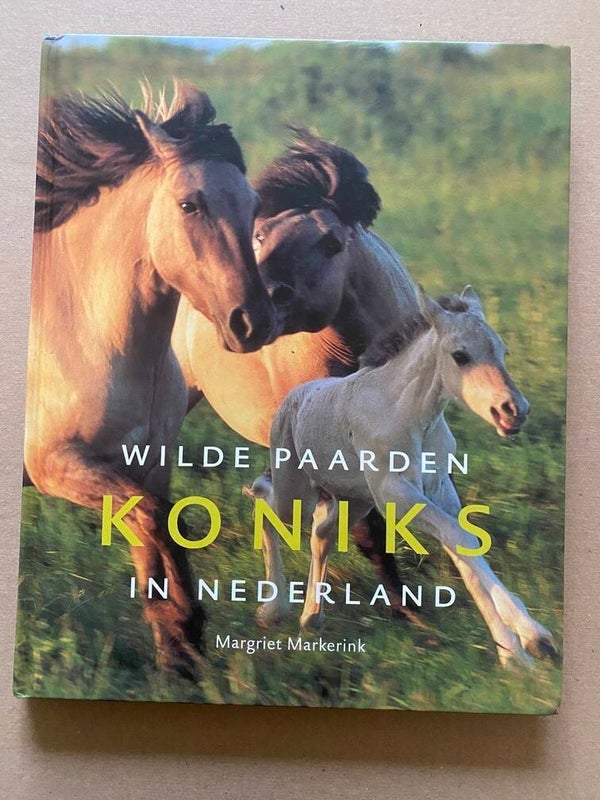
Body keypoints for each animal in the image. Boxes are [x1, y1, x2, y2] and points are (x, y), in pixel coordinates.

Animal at [25, 83, 275, 678]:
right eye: (189, 204)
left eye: (255, 207)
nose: (253, 322)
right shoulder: (55, 466)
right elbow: (156, 518)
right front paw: (186, 625)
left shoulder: (147, 462)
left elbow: (153, 528)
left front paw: (177, 651)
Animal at [254, 286, 558, 666]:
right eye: (460, 355)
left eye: (503, 352)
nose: (514, 411)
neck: (409, 414)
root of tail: (291, 399)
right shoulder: (396, 494)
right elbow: (461, 539)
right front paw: (523, 643)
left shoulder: (438, 489)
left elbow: (464, 546)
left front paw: (525, 644)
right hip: (296, 491)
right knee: (264, 501)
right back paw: (272, 609)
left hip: (355, 499)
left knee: (322, 534)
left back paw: (312, 616)